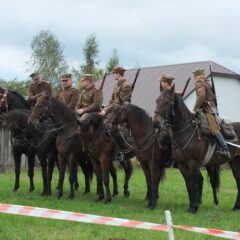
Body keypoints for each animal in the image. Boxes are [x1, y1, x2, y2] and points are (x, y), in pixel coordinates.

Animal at [154, 85, 240, 213]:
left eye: (167, 101)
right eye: (157, 100)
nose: (156, 122)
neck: (186, 131)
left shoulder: (193, 164)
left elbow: (194, 185)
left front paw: (194, 208)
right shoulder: (182, 165)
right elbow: (189, 185)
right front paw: (191, 206)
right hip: (234, 162)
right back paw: (236, 207)